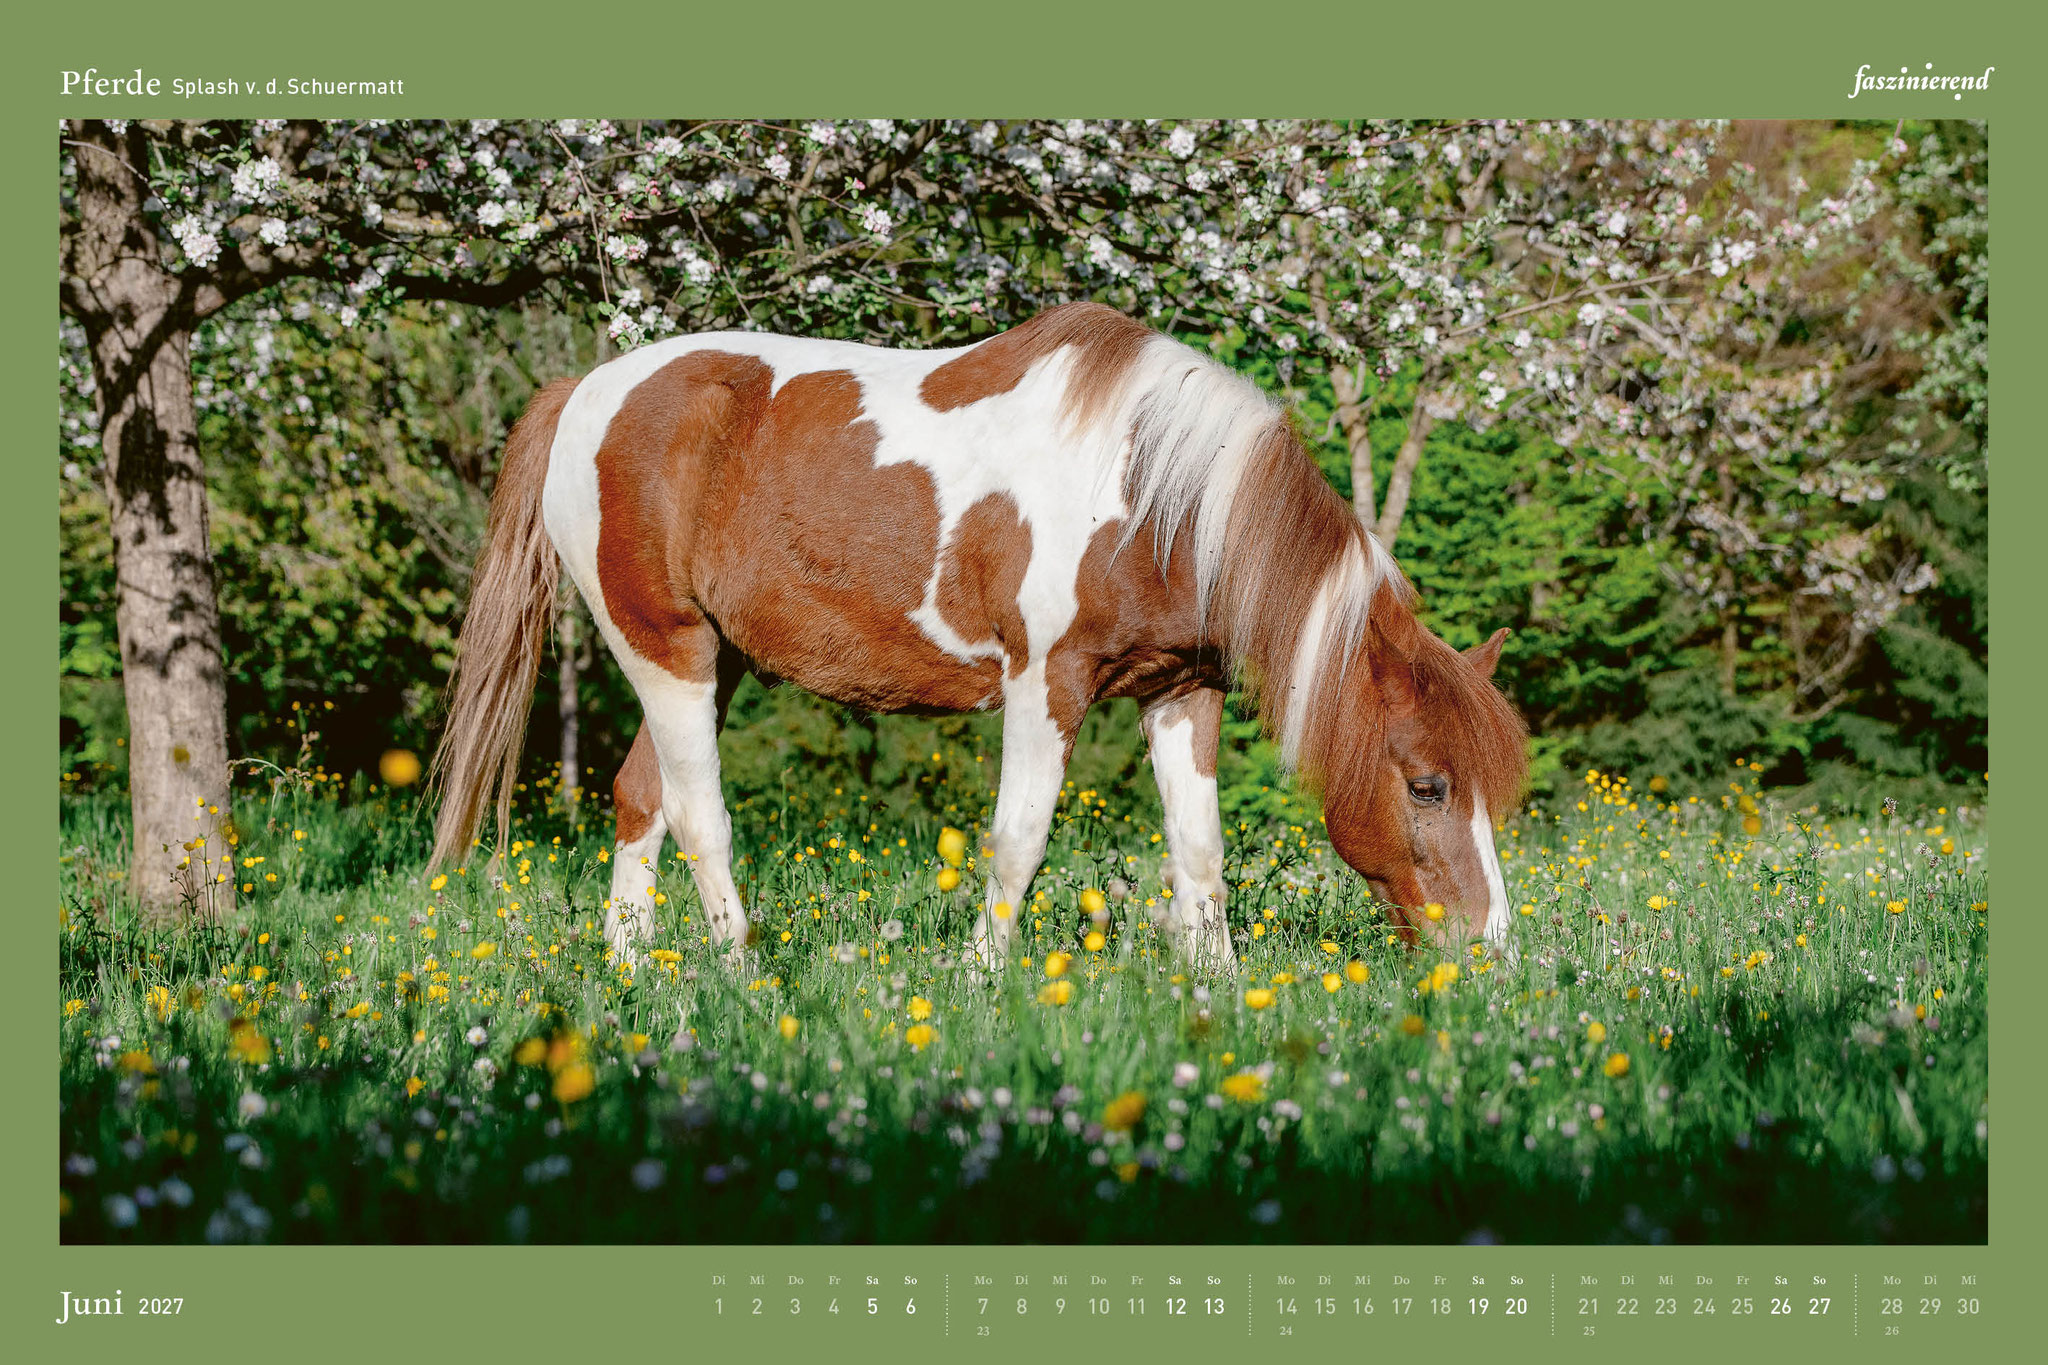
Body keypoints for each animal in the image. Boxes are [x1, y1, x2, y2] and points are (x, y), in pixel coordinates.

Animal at [428, 301, 1527, 973]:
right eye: (1428, 785)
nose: (1491, 951)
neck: (1157, 495)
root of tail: (583, 395)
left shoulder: (1180, 691)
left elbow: (1199, 849)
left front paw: (1218, 986)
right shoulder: (1047, 684)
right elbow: (1019, 838)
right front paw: (981, 976)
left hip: (710, 661)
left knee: (639, 798)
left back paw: (633, 971)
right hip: (666, 652)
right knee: (700, 818)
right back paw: (740, 971)